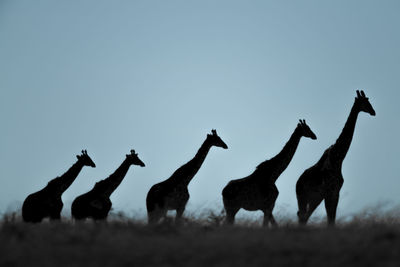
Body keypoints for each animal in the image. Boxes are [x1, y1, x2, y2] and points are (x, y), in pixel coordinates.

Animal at [296, 91, 376, 227]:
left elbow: (332, 219)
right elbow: (330, 219)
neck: (338, 158)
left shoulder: (335, 192)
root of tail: (297, 183)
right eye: (364, 102)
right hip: (303, 198)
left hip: (314, 198)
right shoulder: (329, 191)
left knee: (304, 217)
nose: (373, 112)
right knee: (302, 216)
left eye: (368, 100)